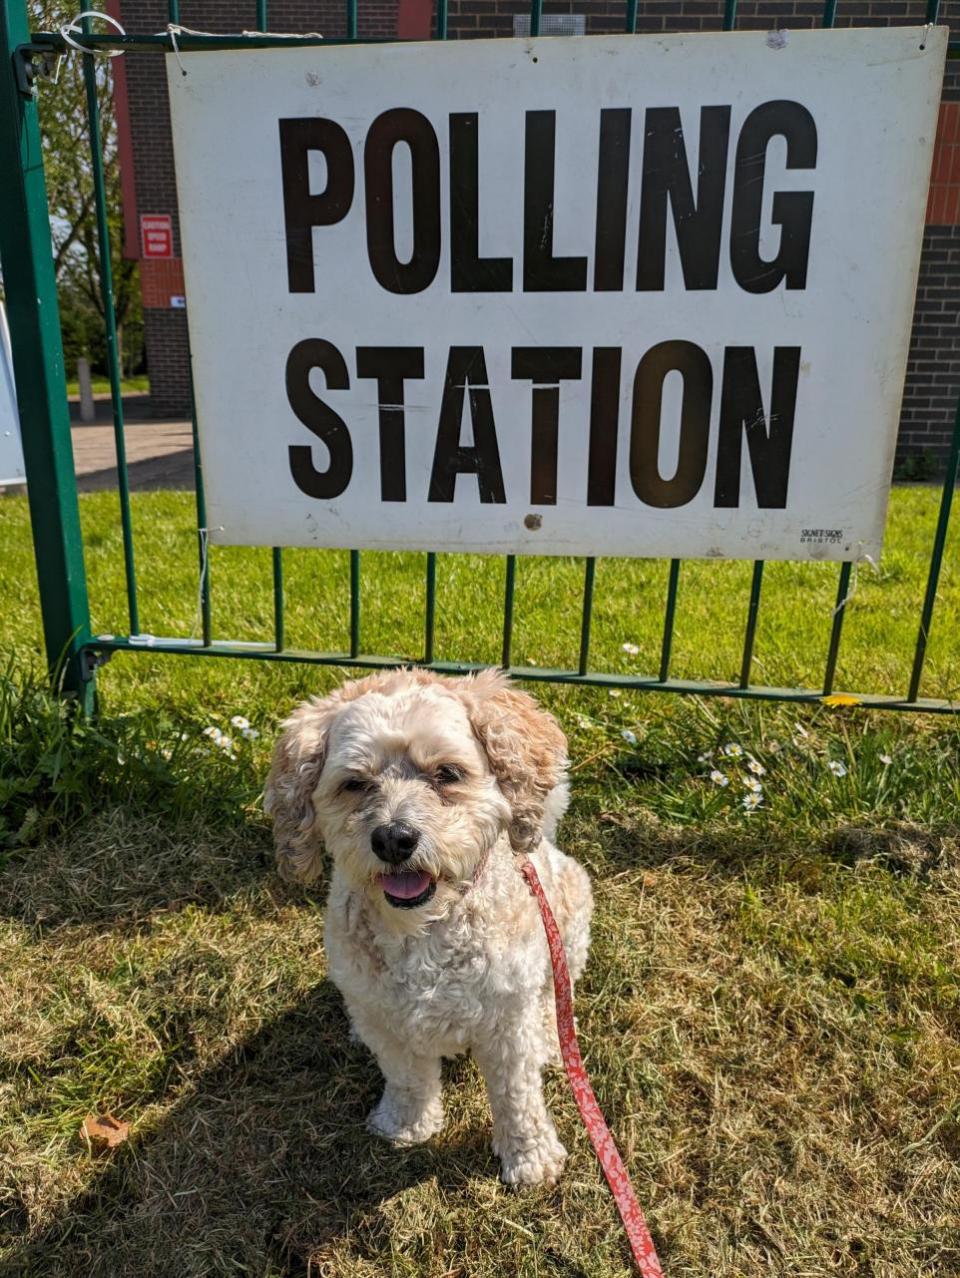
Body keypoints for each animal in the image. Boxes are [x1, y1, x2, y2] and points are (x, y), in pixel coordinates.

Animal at [264, 669, 593, 1185]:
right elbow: (405, 1077)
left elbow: (517, 1096)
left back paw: (553, 1039)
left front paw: (530, 1158)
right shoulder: (386, 1020)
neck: (422, 932)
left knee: (556, 996)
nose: (393, 839)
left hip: (571, 923)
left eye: (447, 774)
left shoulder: (506, 1023)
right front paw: (405, 1125)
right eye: (355, 783)